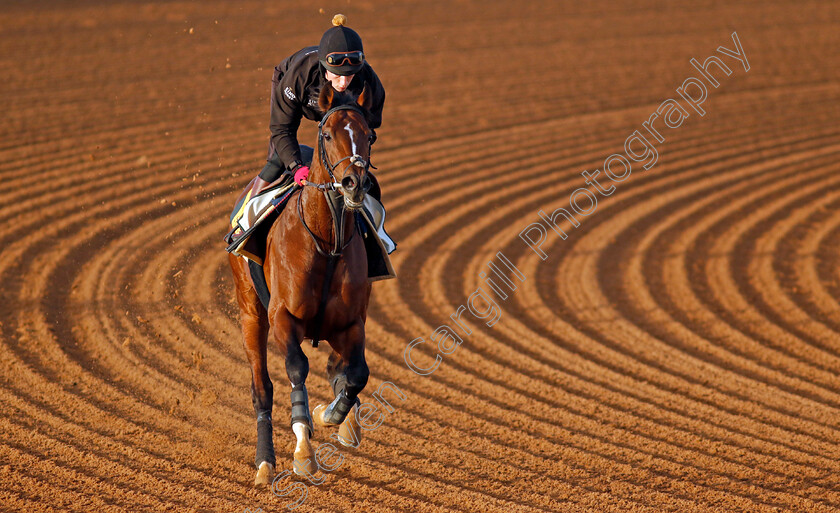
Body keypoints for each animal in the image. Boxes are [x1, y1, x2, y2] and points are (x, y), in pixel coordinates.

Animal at [228, 83, 376, 484]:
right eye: (327, 134)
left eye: (369, 135)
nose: (355, 184)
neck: (326, 241)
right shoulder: (282, 318)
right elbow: (296, 369)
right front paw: (303, 451)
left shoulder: (351, 323)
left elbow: (357, 374)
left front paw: (334, 415)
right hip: (250, 313)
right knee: (261, 388)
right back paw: (265, 462)